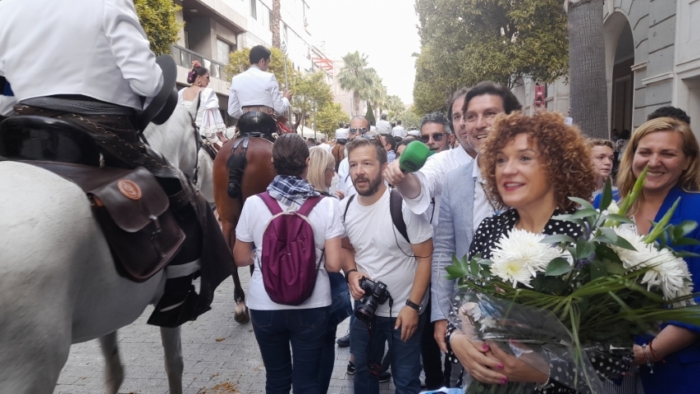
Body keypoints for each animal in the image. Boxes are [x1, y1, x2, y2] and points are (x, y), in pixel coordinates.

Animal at [0, 100, 213, 392]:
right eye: (198, 136)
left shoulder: (106, 310)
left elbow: (114, 370)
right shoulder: (168, 303)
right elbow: (174, 363)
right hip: (26, 371)